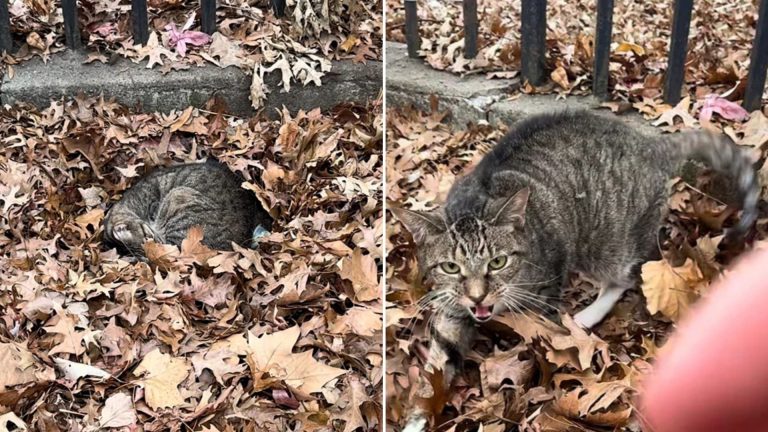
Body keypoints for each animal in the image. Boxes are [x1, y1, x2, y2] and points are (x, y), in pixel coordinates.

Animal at [392, 110, 760, 432]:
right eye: (451, 267)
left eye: (498, 262)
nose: (478, 297)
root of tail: (649, 144)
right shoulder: (452, 308)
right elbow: (439, 360)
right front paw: (418, 414)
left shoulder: (546, 288)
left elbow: (536, 348)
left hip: (605, 245)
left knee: (624, 278)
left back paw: (586, 316)